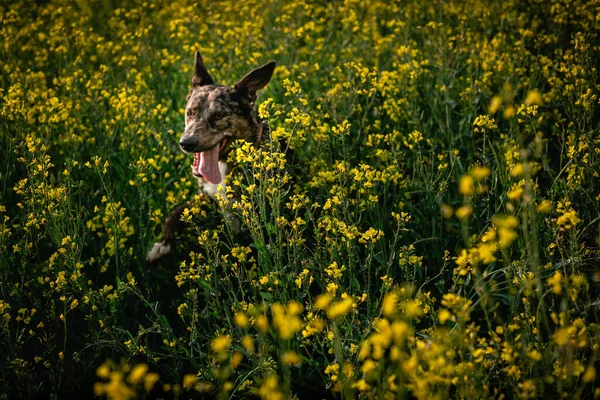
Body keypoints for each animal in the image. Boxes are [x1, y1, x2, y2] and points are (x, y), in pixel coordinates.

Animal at [146, 50, 276, 262]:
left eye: (218, 116)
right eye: (190, 112)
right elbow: (175, 212)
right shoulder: (205, 198)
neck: (223, 165)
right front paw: (161, 244)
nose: (187, 143)